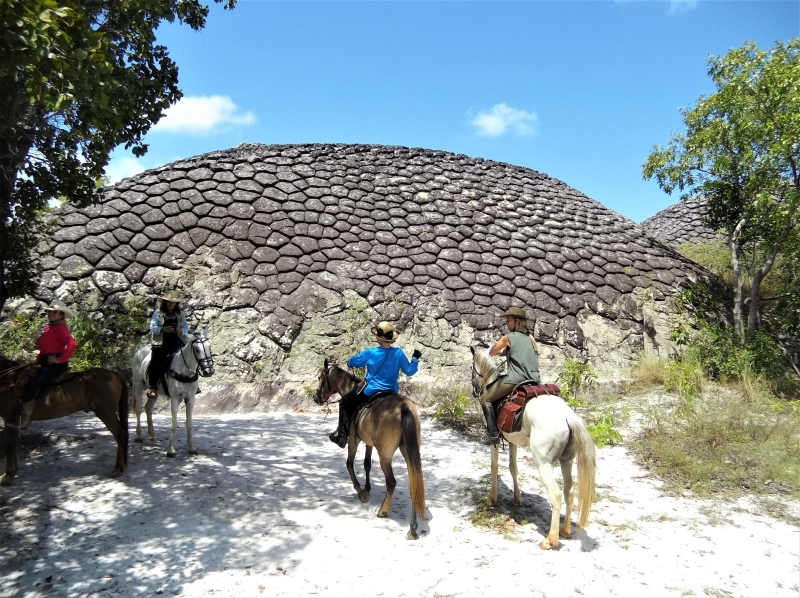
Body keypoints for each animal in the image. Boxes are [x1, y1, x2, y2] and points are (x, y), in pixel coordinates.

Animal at [0, 356, 127, 488]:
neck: (8, 381)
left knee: (120, 434)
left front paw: (7, 477)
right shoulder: (14, 422)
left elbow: (10, 445)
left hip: (106, 413)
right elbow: (14, 444)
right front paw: (11, 473)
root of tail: (115, 374)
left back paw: (118, 468)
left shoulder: (10, 419)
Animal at [133, 328, 217, 460]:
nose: (209, 371)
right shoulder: (174, 398)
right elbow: (174, 424)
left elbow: (189, 423)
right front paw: (171, 450)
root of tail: (139, 352)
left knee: (148, 408)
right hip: (138, 385)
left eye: (210, 347)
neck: (184, 370)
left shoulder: (190, 398)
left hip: (155, 392)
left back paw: (153, 435)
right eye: (197, 349)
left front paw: (192, 448)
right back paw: (139, 436)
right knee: (138, 409)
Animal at [314, 360, 428, 544]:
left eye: (320, 378)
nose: (316, 397)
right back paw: (412, 529)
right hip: (409, 451)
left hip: (385, 455)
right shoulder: (369, 443)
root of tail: (403, 407)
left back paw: (383, 511)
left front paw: (360, 491)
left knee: (391, 482)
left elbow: (349, 463)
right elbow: (367, 464)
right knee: (414, 483)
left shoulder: (354, 440)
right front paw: (367, 488)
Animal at [468, 344, 592, 552]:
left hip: (544, 463)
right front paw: (517, 499)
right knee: (569, 491)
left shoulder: (495, 441)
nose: (473, 390)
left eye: (472, 368)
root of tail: (568, 417)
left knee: (556, 495)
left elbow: (494, 468)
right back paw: (566, 530)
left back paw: (551, 539)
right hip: (567, 460)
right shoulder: (511, 441)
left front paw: (492, 498)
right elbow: (513, 468)